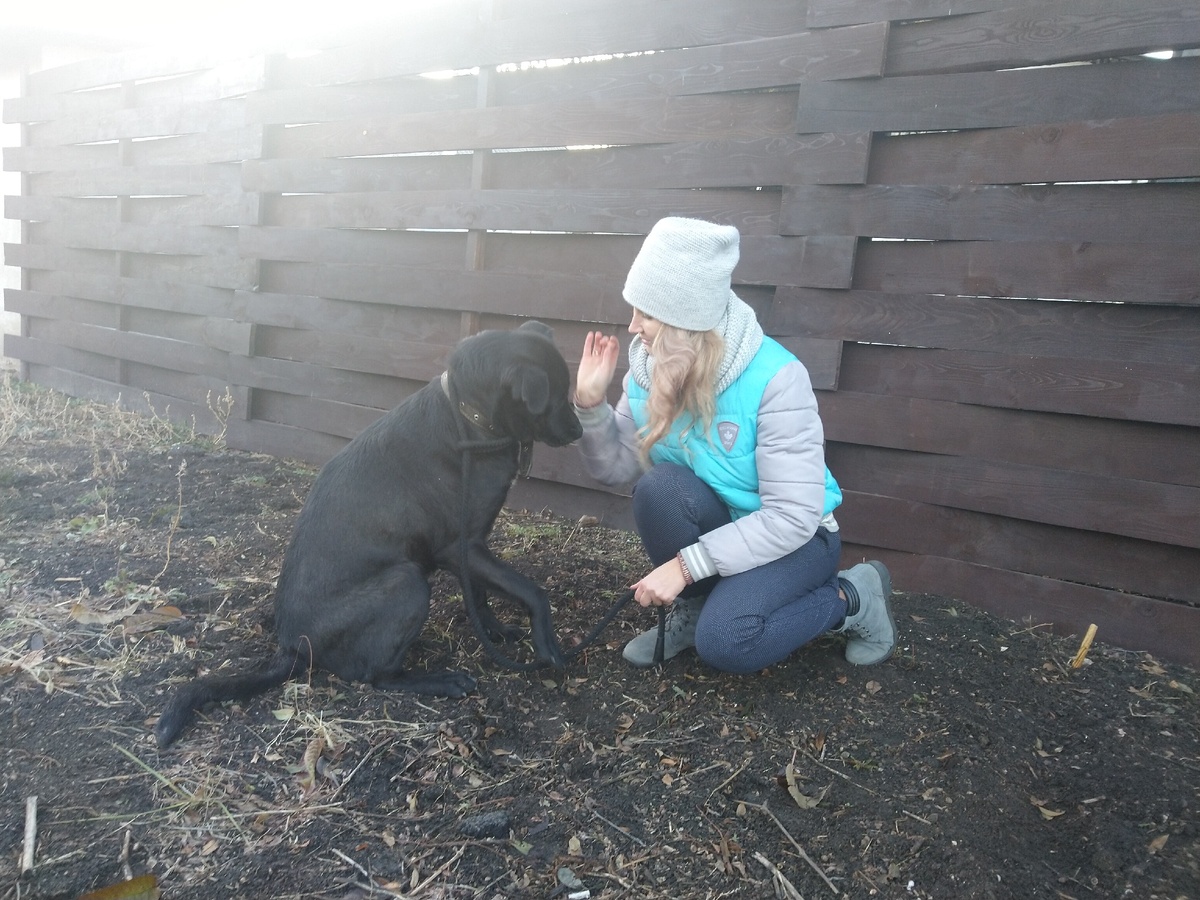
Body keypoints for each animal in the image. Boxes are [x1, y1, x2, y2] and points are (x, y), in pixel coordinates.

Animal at [152, 321, 583, 748]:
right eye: (556, 394)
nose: (579, 430)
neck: (470, 417)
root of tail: (294, 647)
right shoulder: (459, 546)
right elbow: (530, 590)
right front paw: (546, 641)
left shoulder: (472, 545)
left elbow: (479, 595)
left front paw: (495, 630)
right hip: (406, 583)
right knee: (375, 677)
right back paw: (439, 680)